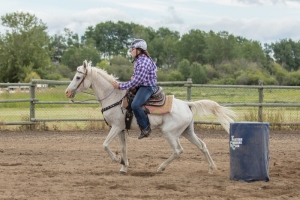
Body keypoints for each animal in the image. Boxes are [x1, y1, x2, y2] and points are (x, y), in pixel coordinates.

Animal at [65, 60, 237, 174]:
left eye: (78, 77)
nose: (67, 92)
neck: (114, 97)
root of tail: (187, 104)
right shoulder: (121, 129)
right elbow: (124, 148)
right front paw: (124, 166)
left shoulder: (116, 127)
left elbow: (105, 145)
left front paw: (118, 160)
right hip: (187, 131)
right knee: (202, 146)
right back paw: (211, 168)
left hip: (170, 133)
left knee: (178, 150)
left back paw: (161, 167)